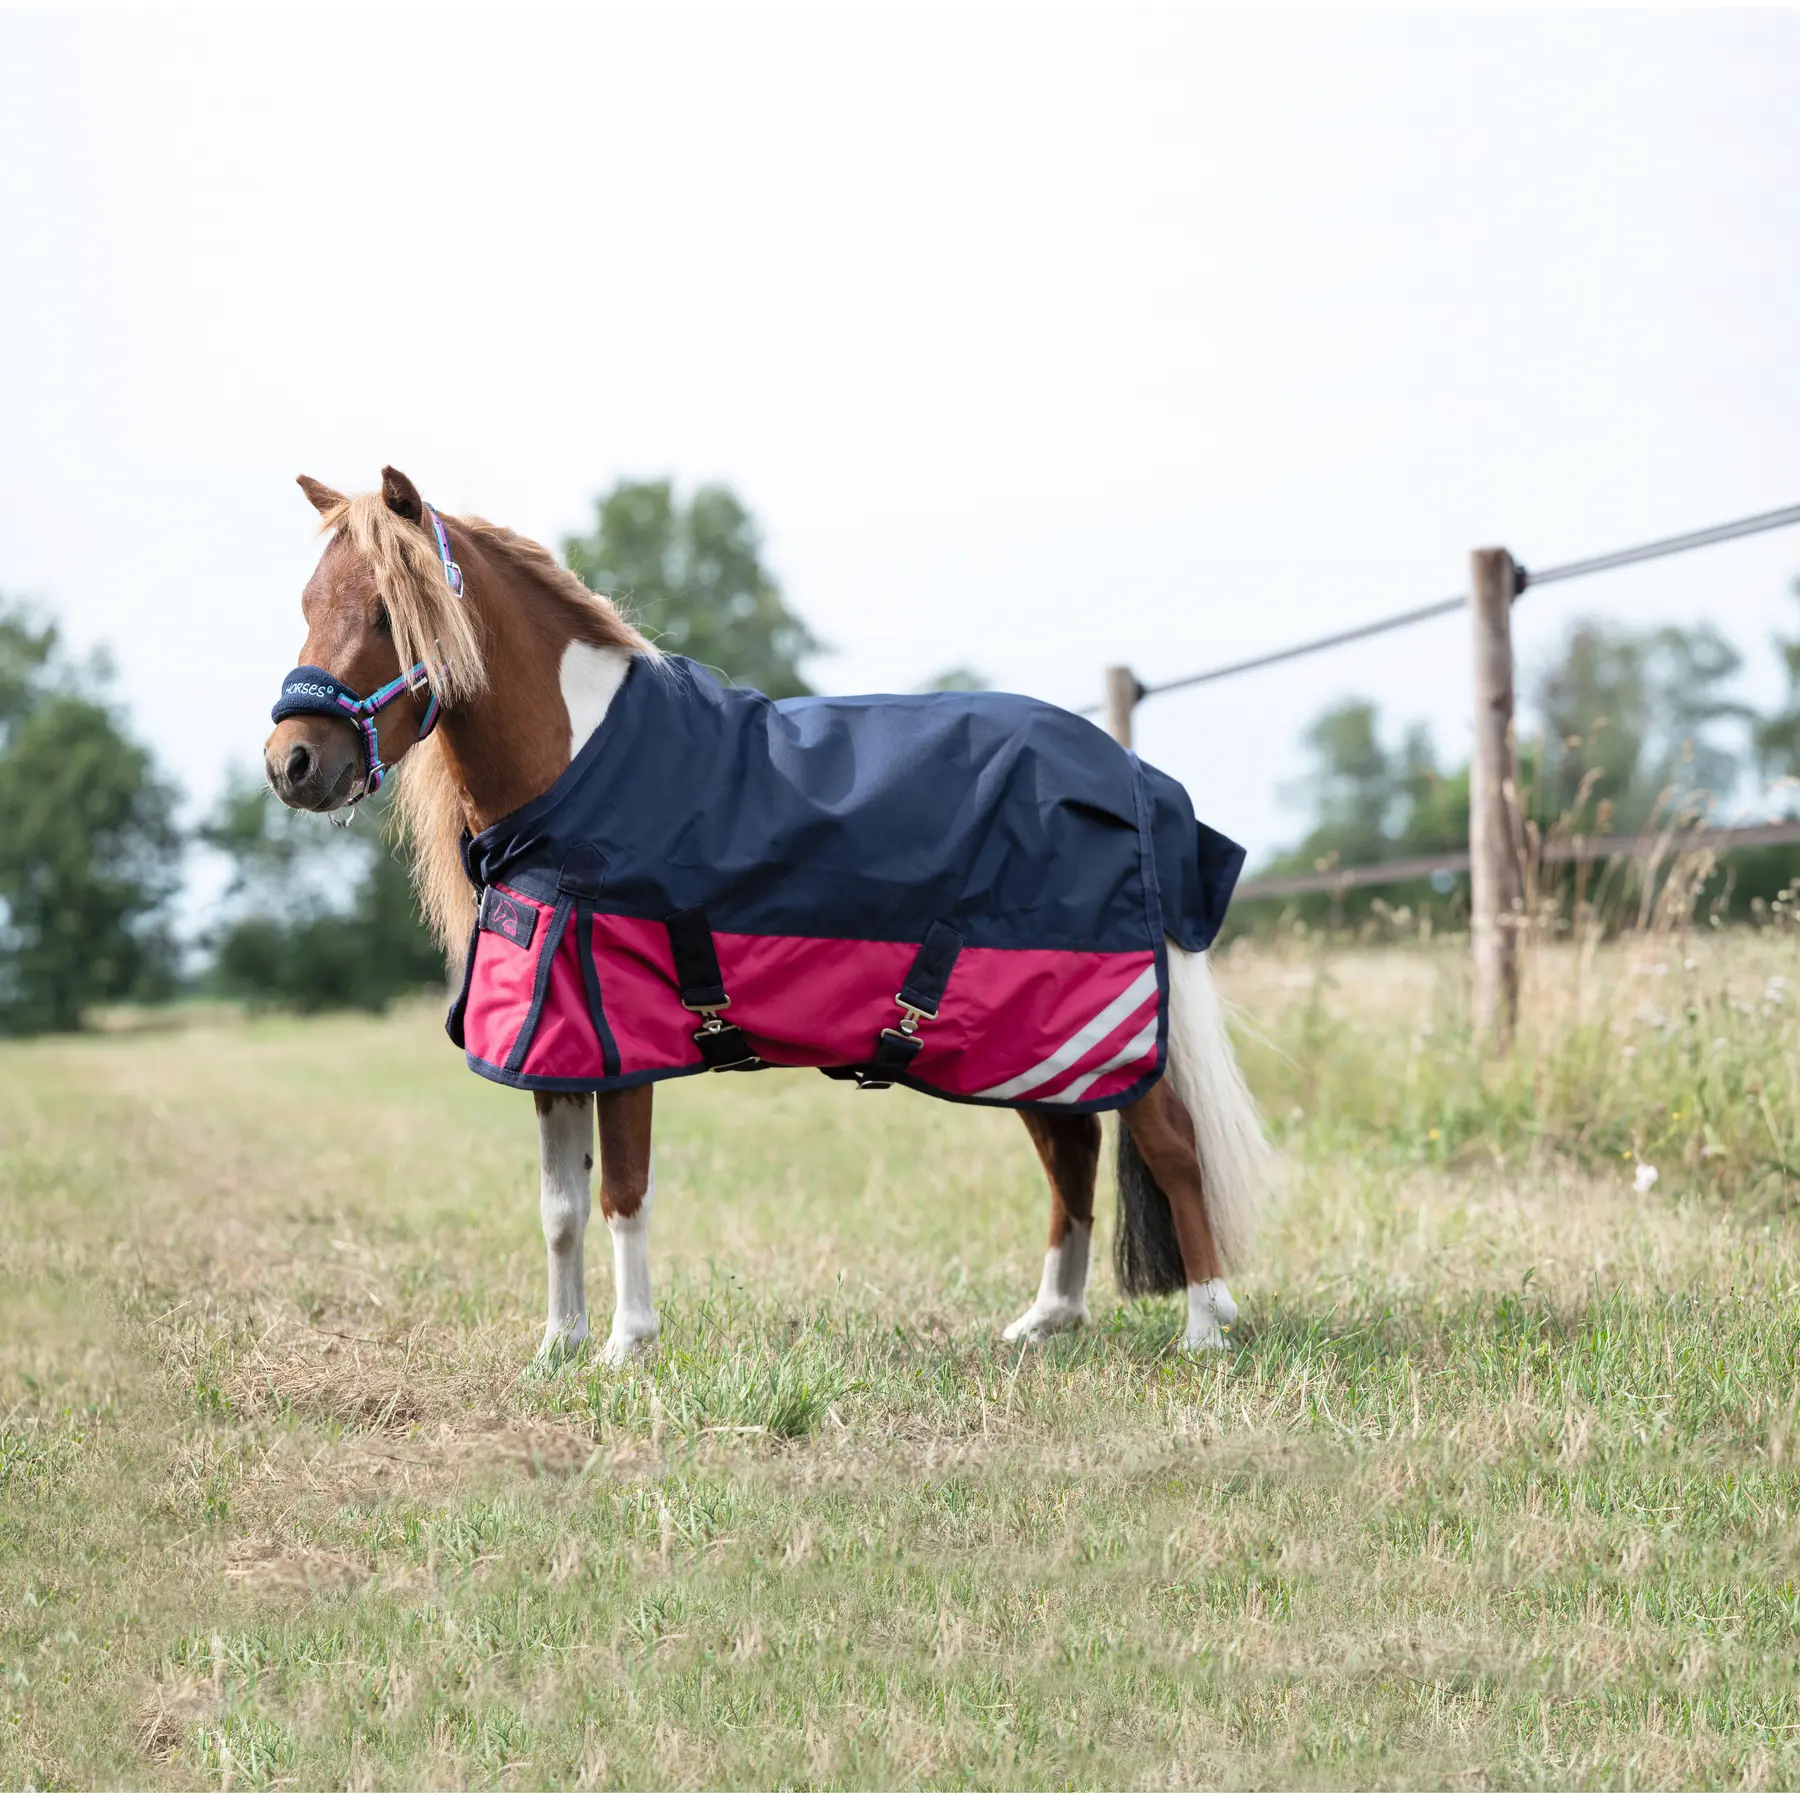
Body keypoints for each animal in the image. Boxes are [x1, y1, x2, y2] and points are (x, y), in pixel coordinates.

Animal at [263, 467, 1273, 1365]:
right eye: (308, 603)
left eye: (391, 613)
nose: (292, 763)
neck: (579, 773)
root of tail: (1134, 779)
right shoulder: (553, 1044)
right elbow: (559, 1208)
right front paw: (558, 1347)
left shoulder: (622, 1042)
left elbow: (621, 1195)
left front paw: (627, 1348)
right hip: (1029, 1034)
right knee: (1072, 1151)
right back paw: (1048, 1322)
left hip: (1101, 1021)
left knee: (1172, 1148)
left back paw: (1204, 1328)